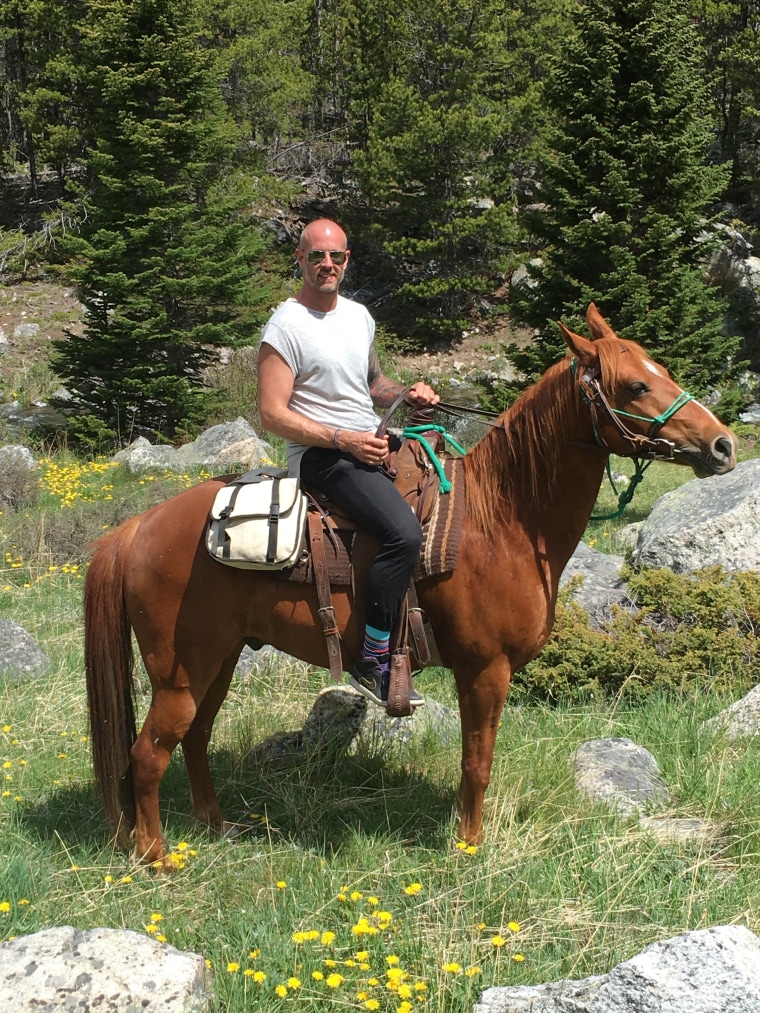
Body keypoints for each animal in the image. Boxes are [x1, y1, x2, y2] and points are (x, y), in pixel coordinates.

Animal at [84, 303, 737, 867]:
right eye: (635, 387)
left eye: (663, 370)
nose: (724, 444)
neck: (502, 519)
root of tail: (136, 528)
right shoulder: (485, 670)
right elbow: (477, 763)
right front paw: (468, 846)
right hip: (181, 673)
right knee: (148, 754)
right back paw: (155, 857)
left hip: (216, 662)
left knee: (194, 738)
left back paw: (216, 825)